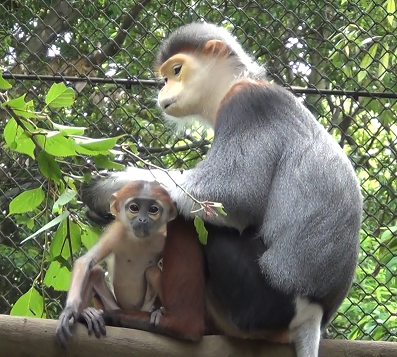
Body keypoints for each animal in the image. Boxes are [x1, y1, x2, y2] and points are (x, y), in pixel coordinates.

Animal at [55, 179, 176, 346]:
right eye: (134, 208)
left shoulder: (164, 237)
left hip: (141, 308)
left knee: (153, 271)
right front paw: (70, 310)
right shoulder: (116, 232)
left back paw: (158, 312)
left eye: (153, 209)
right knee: (95, 271)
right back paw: (86, 314)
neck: (139, 241)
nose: (142, 219)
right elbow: (86, 262)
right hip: (112, 306)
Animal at [83, 22, 362, 356]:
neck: (238, 81)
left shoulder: (247, 103)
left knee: (192, 221)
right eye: (165, 77)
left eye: (176, 71)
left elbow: (234, 196)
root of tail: (315, 313)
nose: (163, 89)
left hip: (261, 301)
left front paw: (113, 186)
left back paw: (176, 324)